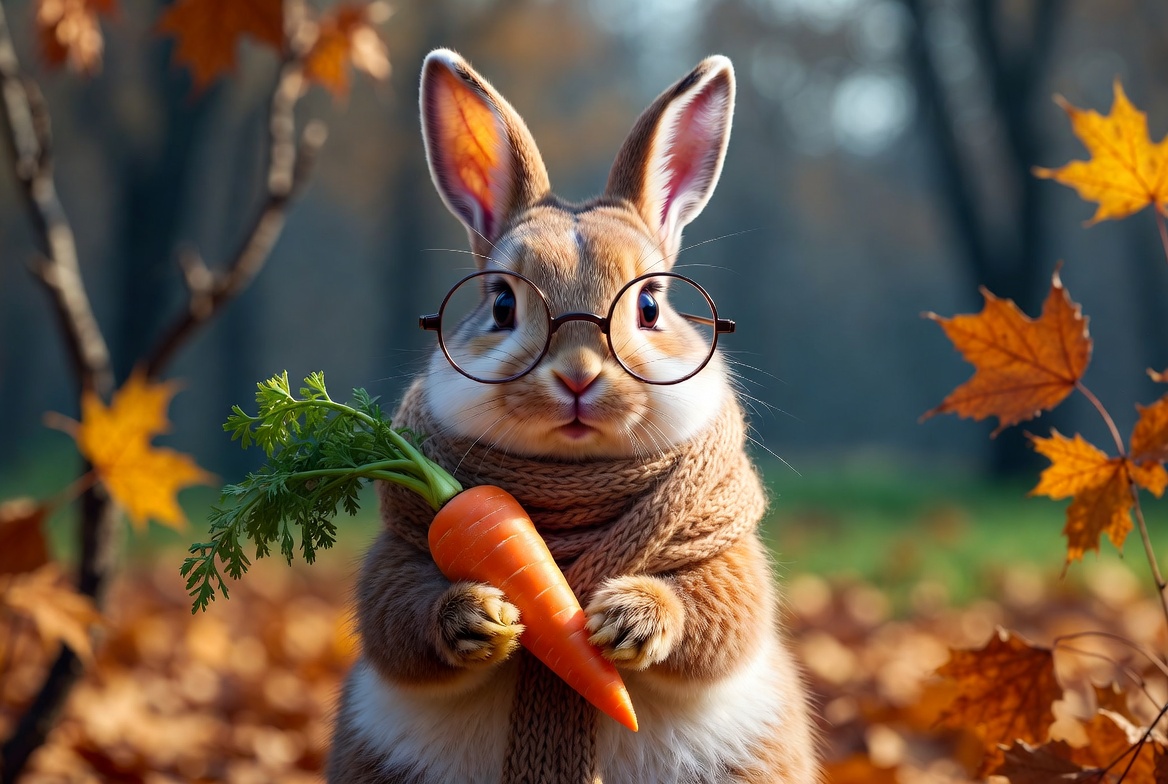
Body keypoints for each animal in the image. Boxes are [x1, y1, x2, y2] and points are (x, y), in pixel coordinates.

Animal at [327, 49, 818, 784]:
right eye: (502, 304)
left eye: (650, 305)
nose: (579, 377)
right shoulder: (400, 558)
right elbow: (397, 619)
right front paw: (479, 619)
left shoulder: (727, 555)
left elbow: (719, 613)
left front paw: (628, 621)